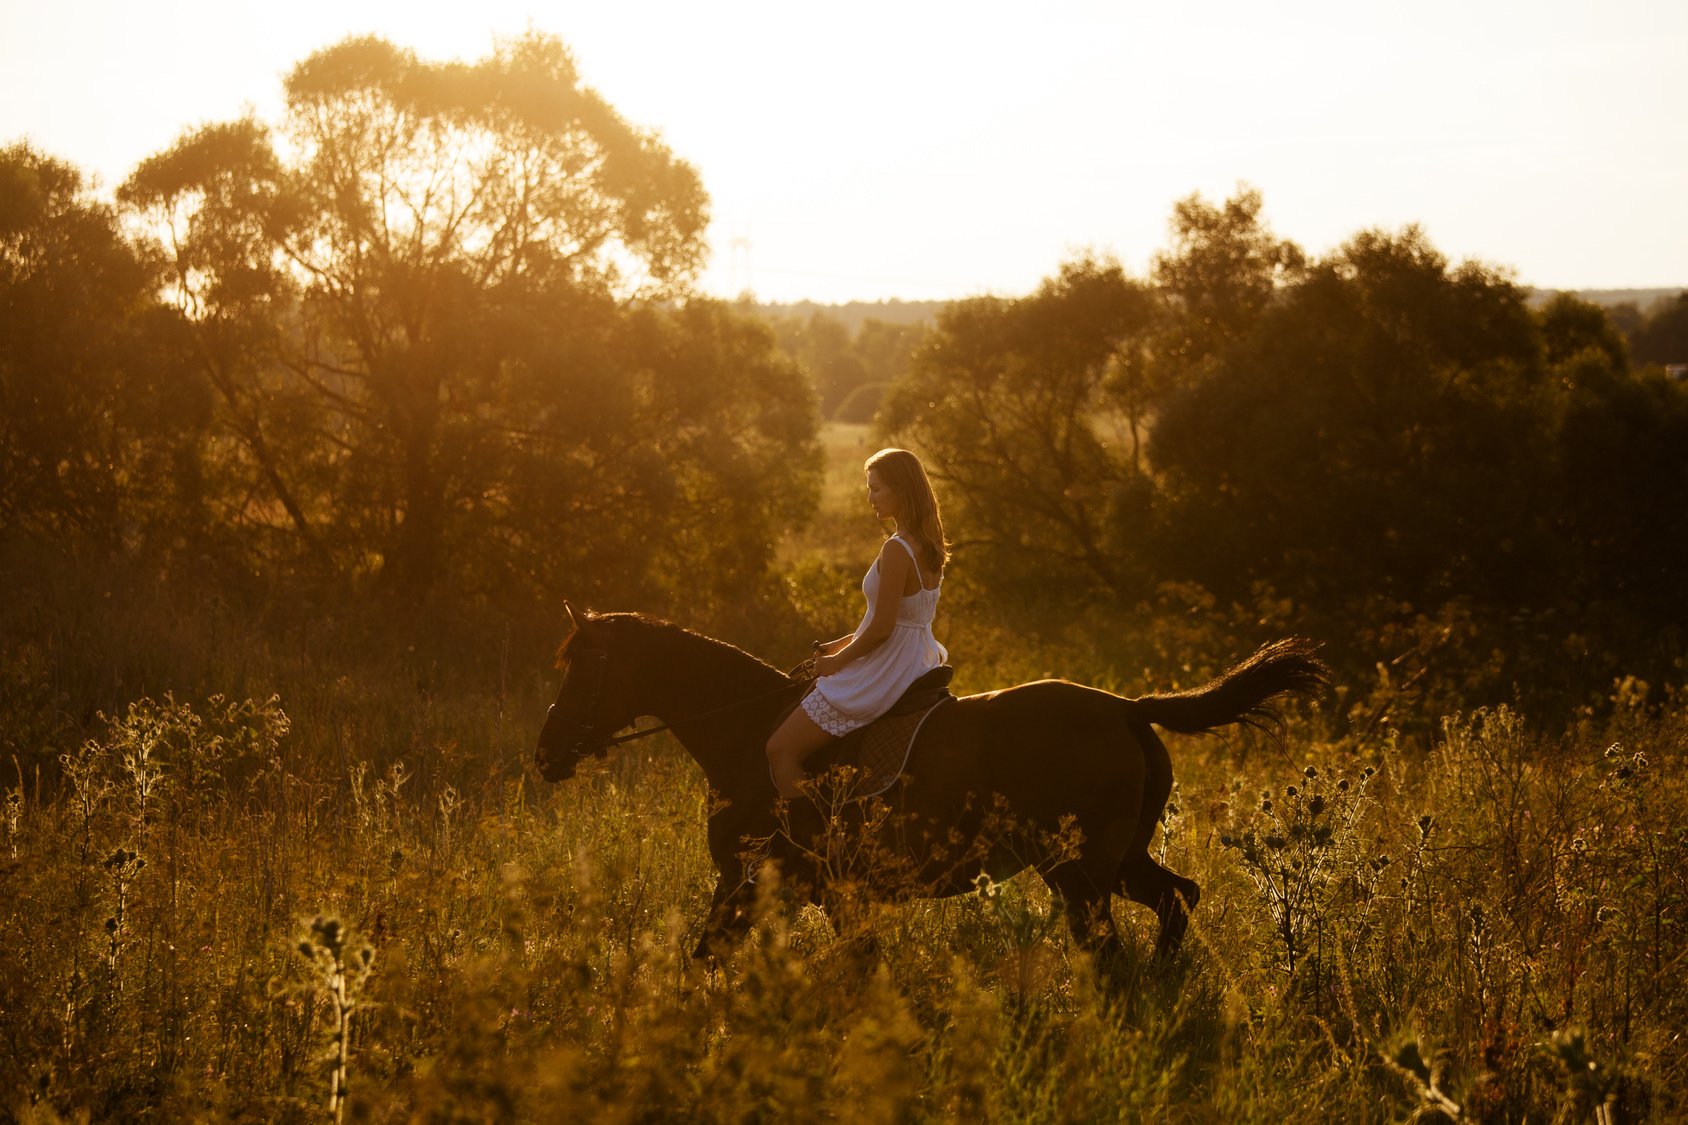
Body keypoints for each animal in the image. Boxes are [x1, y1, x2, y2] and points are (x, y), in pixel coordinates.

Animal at [533, 608, 1323, 959]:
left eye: (584, 666)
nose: (544, 753)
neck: (746, 732)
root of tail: (1126, 707)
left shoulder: (754, 882)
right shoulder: (795, 894)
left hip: (1079, 873)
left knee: (1113, 948)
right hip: (1118, 860)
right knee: (1178, 898)